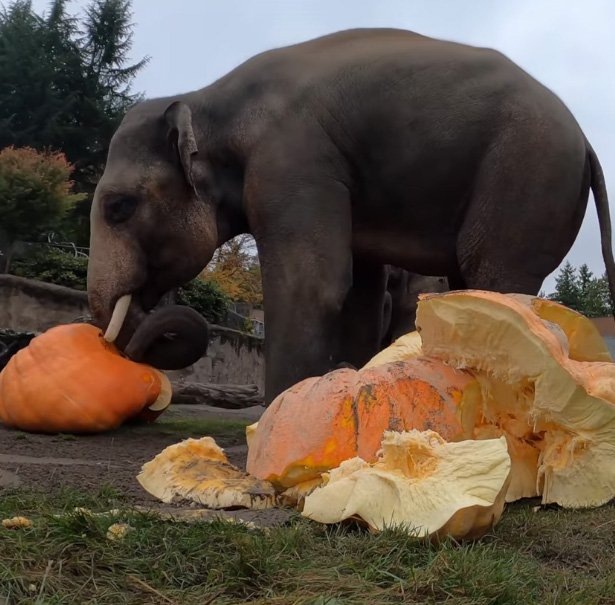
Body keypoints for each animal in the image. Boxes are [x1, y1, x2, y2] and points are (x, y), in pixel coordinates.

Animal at [86, 29, 615, 406]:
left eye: (118, 208)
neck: (207, 100)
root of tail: (585, 141)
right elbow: (359, 297)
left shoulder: (292, 160)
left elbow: (311, 285)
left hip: (528, 175)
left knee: (496, 281)